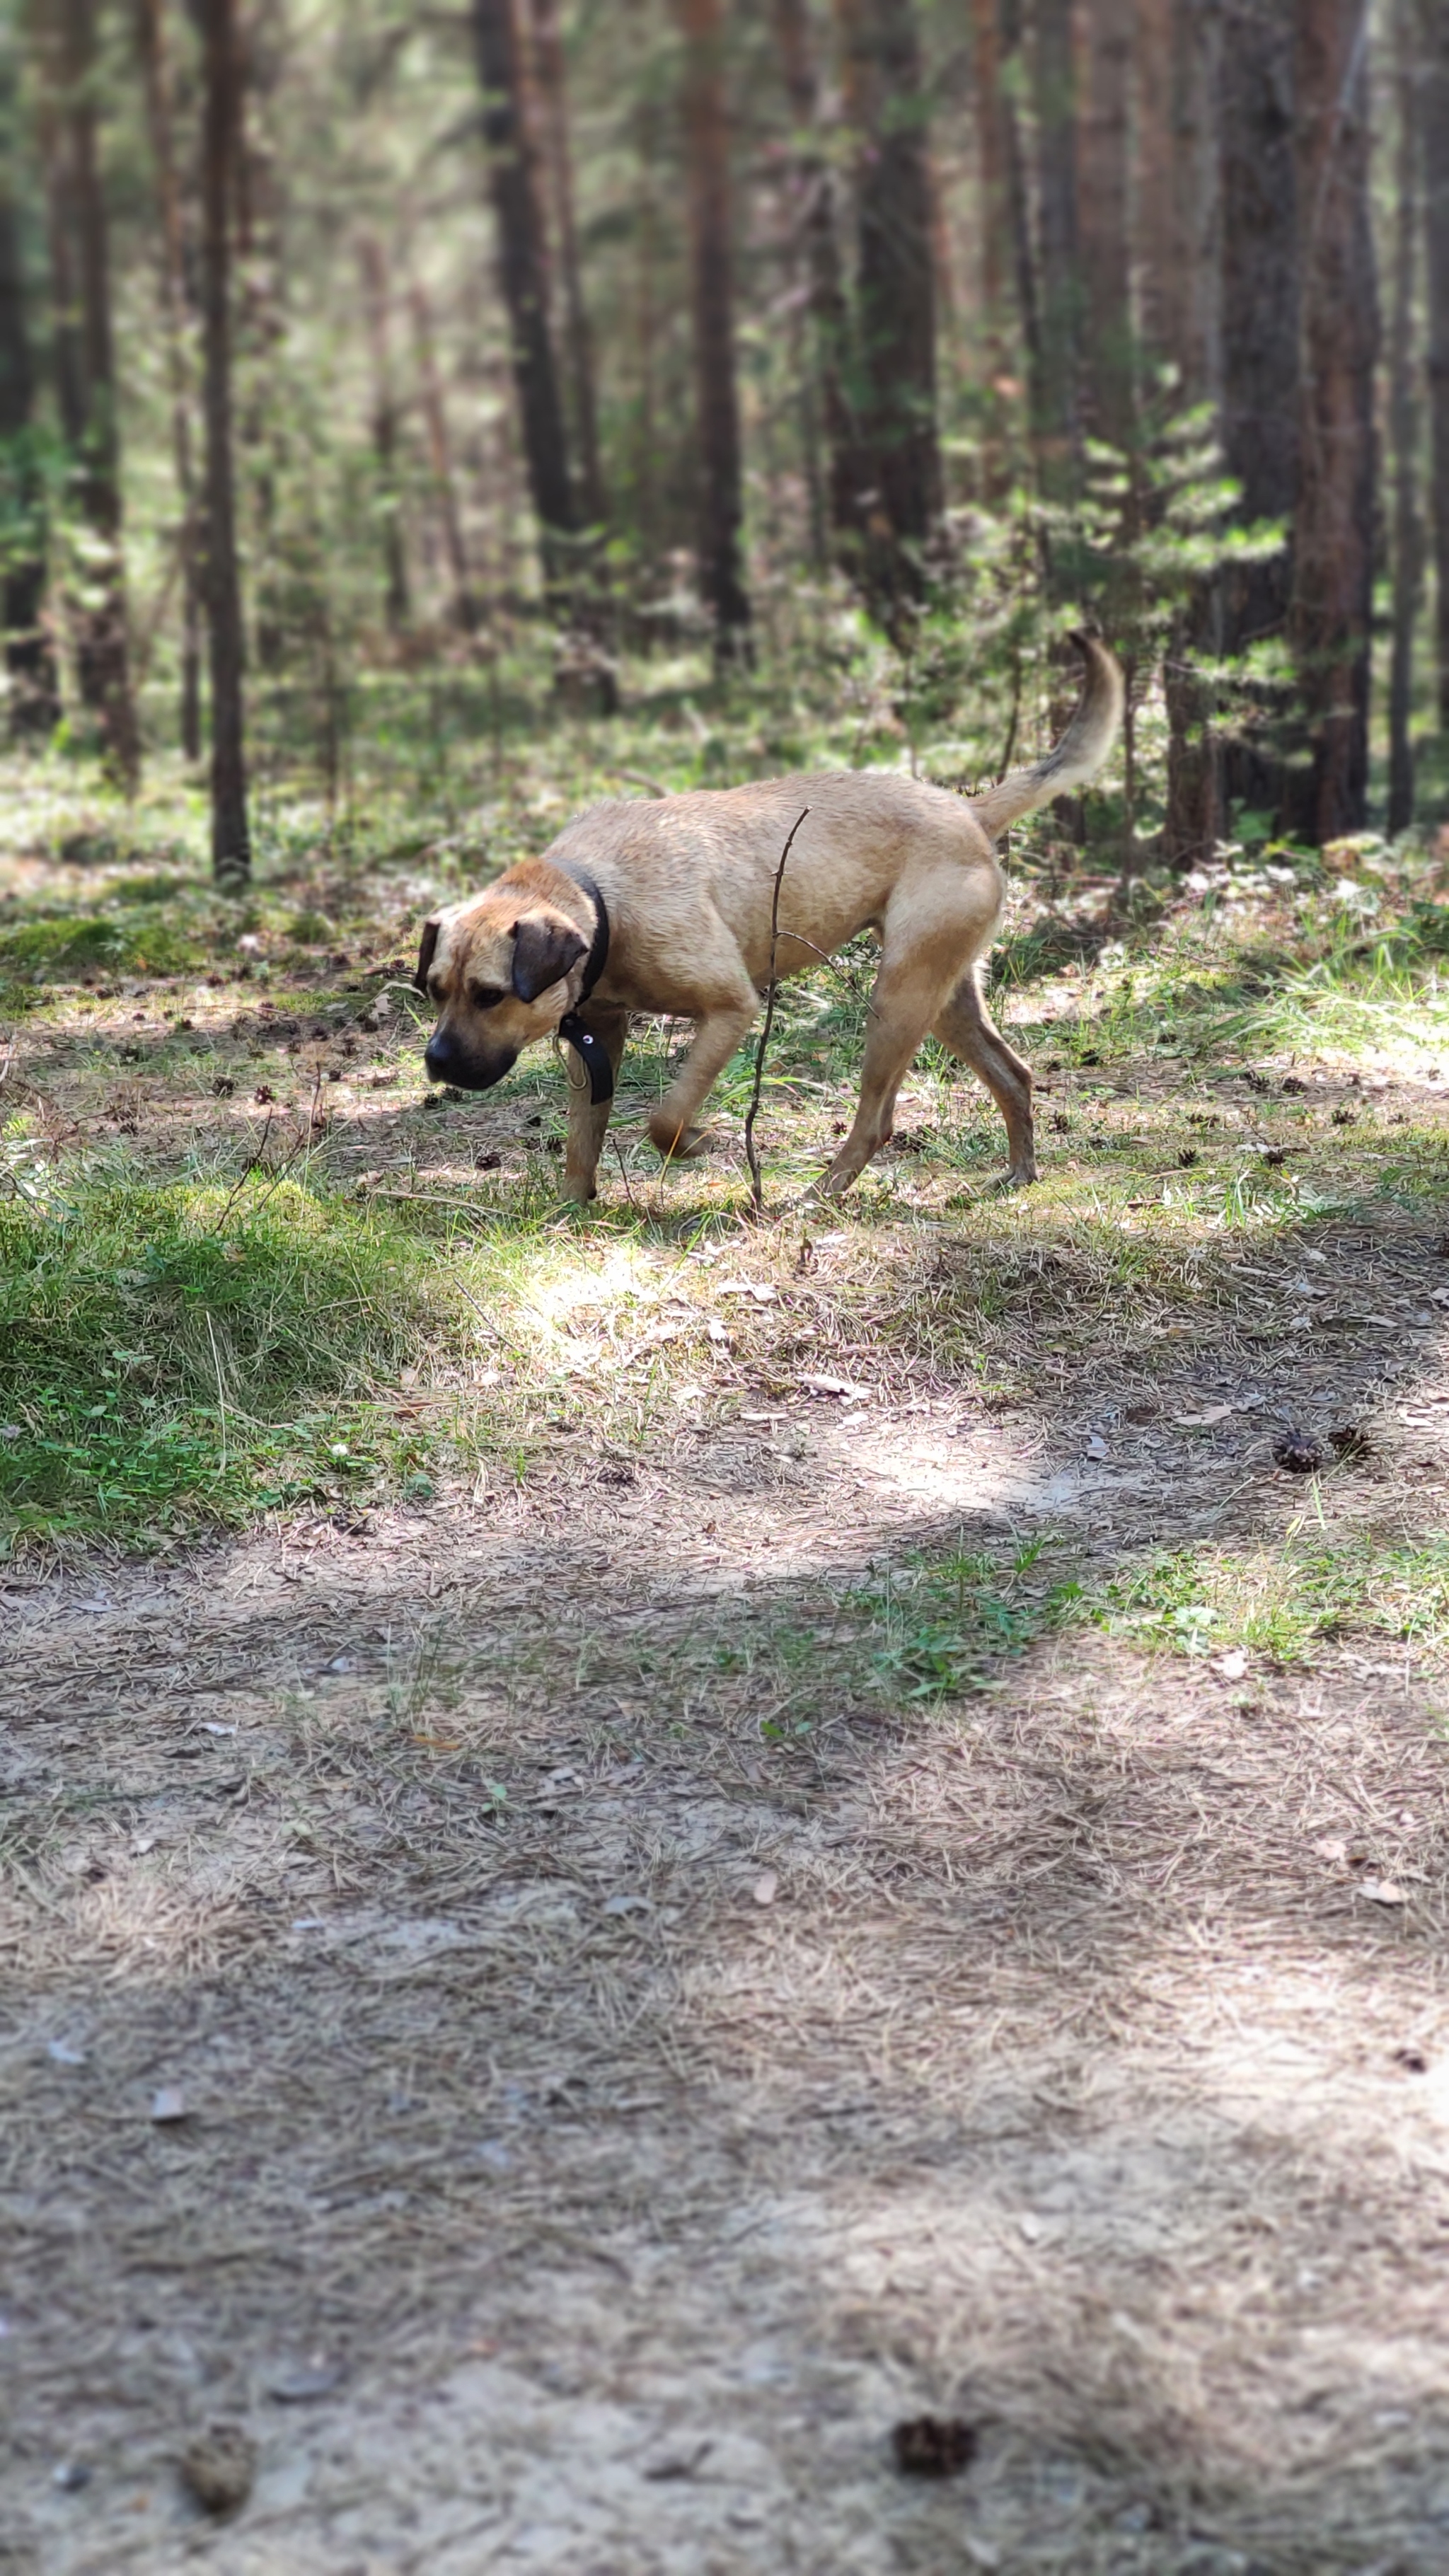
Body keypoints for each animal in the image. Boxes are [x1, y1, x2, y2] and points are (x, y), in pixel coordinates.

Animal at [412, 638, 1124, 1211]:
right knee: (1014, 1076)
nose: (436, 1061)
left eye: (489, 995)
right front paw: (569, 1209)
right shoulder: (599, 1039)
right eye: (436, 990)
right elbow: (583, 1140)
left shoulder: (730, 1009)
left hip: (898, 999)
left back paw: (819, 1194)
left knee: (875, 1121)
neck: (599, 897)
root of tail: (969, 810)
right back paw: (1019, 1173)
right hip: (944, 997)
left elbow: (666, 1119)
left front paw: (700, 1142)